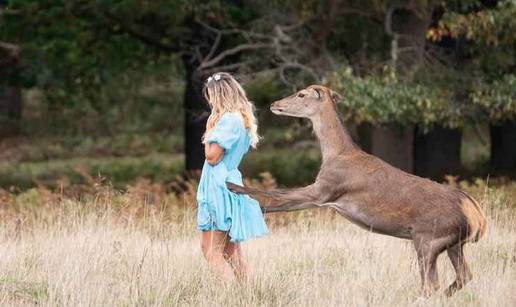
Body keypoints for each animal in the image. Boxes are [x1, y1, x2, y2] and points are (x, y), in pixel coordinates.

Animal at [227, 85, 488, 298]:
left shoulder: (325, 189)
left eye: (301, 94)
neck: (336, 154)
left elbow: (279, 196)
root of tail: (478, 217)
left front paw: (234, 189)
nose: (274, 104)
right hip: (453, 243)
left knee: (431, 284)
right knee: (463, 276)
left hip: (428, 237)